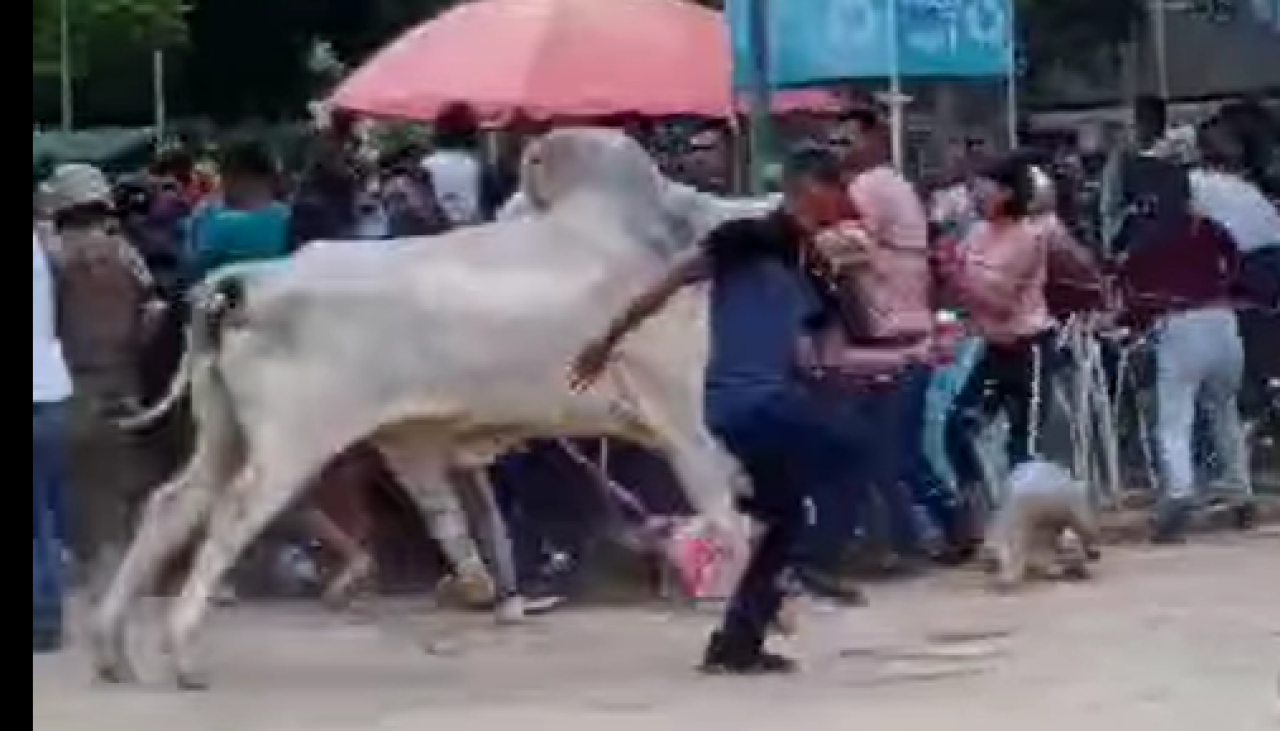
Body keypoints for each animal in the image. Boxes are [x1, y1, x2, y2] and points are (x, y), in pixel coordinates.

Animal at [92, 128, 768, 691]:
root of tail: (242, 283)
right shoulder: (680, 418)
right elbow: (726, 517)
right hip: (292, 443)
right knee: (232, 514)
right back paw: (181, 652)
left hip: (226, 436)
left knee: (173, 504)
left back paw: (111, 650)